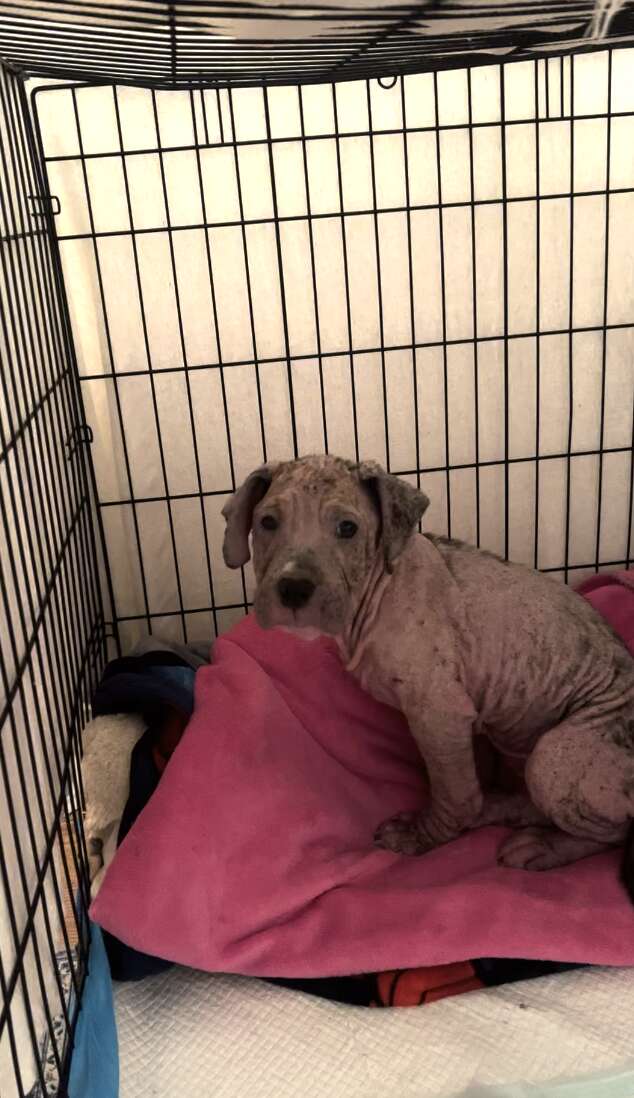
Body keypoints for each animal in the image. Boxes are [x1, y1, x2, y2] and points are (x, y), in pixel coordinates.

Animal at [222, 454, 634, 900]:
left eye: (347, 528)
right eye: (267, 522)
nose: (293, 588)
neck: (378, 589)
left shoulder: (440, 714)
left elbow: (454, 791)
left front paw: (421, 836)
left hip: (555, 755)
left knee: (614, 832)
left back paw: (545, 846)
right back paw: (502, 806)